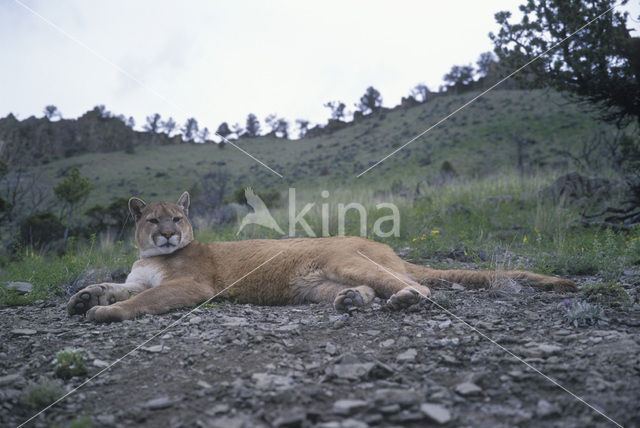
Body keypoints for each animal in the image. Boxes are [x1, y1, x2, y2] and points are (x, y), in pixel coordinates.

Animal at [67, 192, 576, 322]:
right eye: (154, 220)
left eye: (177, 218)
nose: (170, 235)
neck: (149, 256)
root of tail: (386, 245)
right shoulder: (138, 276)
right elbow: (118, 285)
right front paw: (84, 297)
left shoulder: (191, 286)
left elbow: (141, 300)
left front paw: (103, 312)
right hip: (313, 284)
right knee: (369, 288)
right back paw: (352, 301)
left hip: (345, 260)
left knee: (419, 285)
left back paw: (403, 300)